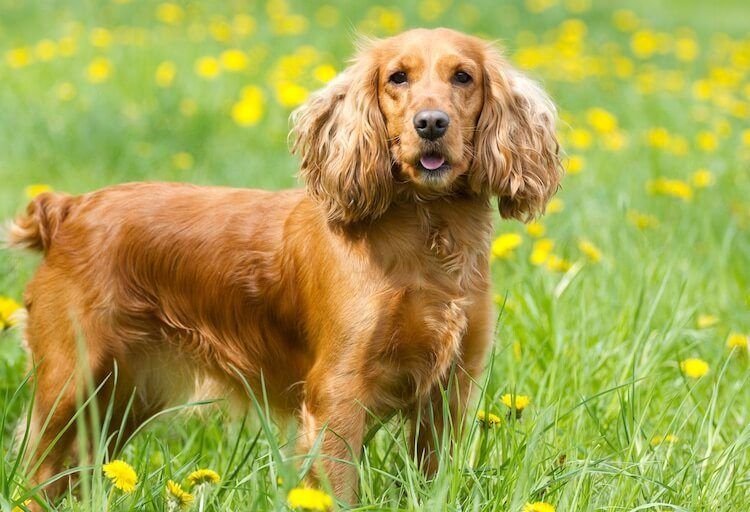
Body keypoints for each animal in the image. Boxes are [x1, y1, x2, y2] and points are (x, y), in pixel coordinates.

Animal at [8, 28, 560, 504]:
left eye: (462, 76)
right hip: (70, 382)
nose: (430, 123)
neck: (428, 235)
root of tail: (66, 209)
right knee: (36, 473)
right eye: (397, 77)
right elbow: (338, 487)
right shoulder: (338, 393)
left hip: (121, 398)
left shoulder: (450, 390)